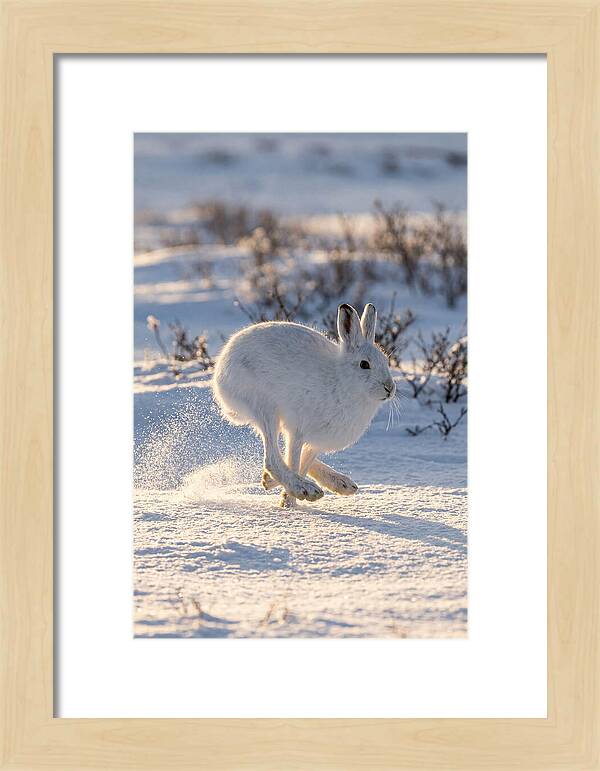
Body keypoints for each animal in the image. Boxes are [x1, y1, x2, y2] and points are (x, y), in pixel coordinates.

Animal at [212, 303, 396, 507]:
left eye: (386, 361)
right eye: (364, 364)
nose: (390, 388)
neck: (342, 381)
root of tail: (221, 368)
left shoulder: (316, 441)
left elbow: (303, 462)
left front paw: (284, 496)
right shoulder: (298, 431)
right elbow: (294, 461)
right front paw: (290, 503)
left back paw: (340, 484)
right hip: (265, 408)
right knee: (272, 459)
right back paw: (304, 488)